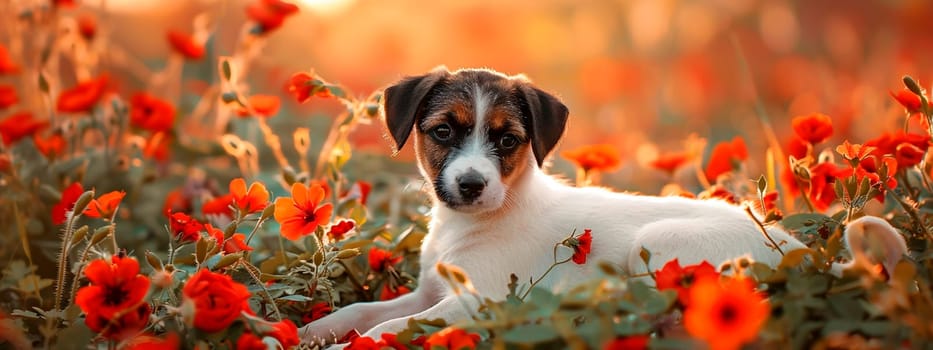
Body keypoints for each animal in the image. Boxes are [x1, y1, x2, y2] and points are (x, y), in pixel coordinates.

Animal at [302, 67, 908, 344]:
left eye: (507, 140)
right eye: (444, 131)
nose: (471, 185)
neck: (478, 221)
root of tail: (799, 256)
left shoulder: (477, 303)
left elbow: (389, 329)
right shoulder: (432, 291)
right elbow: (363, 312)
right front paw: (305, 332)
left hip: (659, 244)